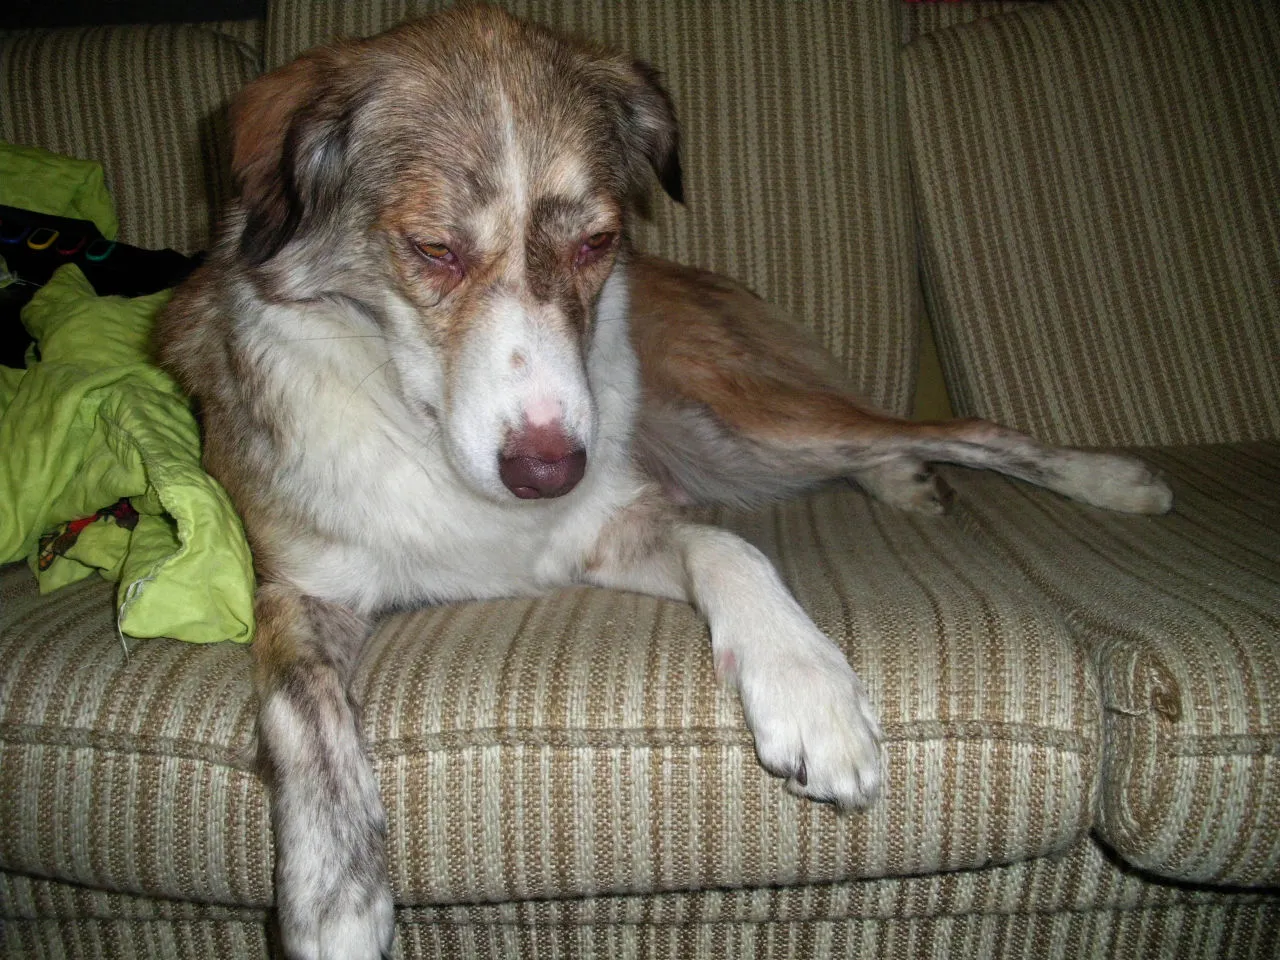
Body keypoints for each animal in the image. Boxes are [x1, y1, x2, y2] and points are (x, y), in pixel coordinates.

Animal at [155, 7, 1173, 958]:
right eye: (433, 249)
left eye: (597, 243)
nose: (546, 473)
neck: (424, 434)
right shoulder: (299, 589)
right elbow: (304, 711)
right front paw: (336, 896)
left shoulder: (607, 520)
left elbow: (728, 545)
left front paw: (809, 688)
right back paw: (905, 480)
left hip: (746, 421)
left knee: (960, 430)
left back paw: (1101, 478)